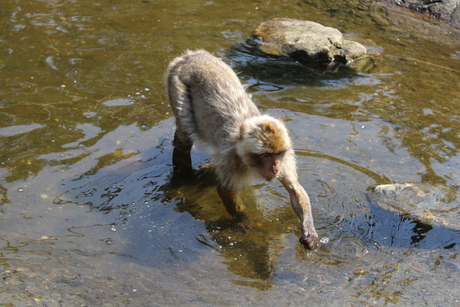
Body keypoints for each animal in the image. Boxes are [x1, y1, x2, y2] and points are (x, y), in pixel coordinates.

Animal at [165, 50, 320, 250]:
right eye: (266, 155)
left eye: (277, 154)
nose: (275, 168)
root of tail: (190, 56)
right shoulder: (231, 162)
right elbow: (226, 191)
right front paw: (246, 223)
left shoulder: (286, 159)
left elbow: (294, 189)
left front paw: (309, 230)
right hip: (176, 83)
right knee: (184, 137)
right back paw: (184, 177)